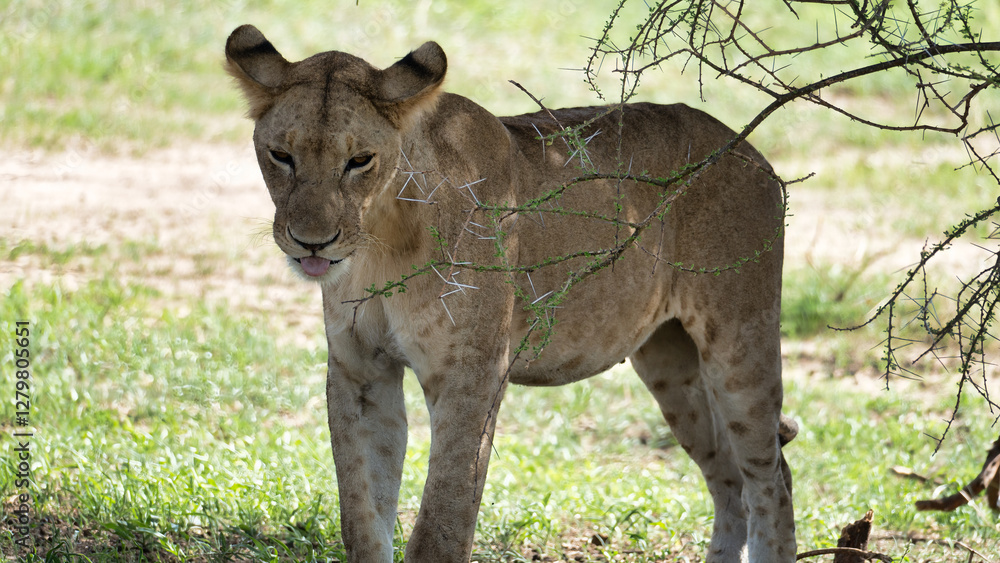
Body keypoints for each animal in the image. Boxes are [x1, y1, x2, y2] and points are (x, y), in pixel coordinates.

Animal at [226, 24, 795, 563]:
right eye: (281, 155)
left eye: (360, 161)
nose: (311, 242)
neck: (380, 237)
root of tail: (750, 150)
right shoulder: (360, 371)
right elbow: (363, 521)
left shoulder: (473, 373)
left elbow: (442, 522)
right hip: (669, 362)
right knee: (730, 478)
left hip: (739, 342)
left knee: (770, 477)